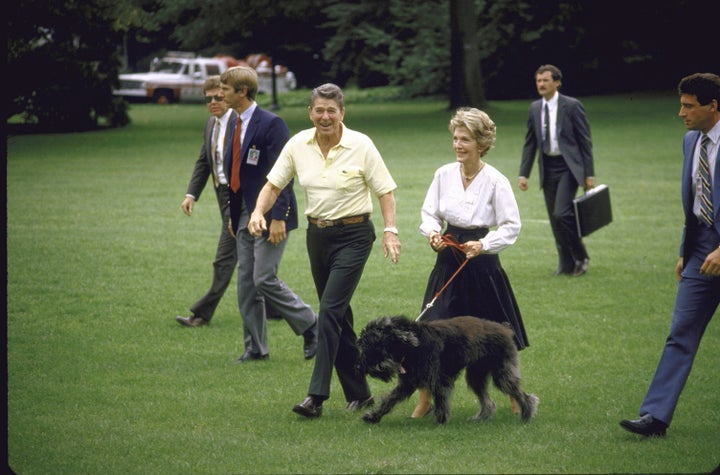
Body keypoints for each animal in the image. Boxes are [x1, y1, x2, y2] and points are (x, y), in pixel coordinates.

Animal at [358, 316, 536, 424]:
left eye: (374, 346)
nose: (360, 367)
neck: (412, 348)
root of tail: (505, 329)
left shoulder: (438, 380)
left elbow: (440, 400)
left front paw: (441, 421)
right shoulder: (406, 384)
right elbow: (389, 400)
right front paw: (374, 416)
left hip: (502, 374)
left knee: (520, 393)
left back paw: (527, 413)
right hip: (476, 376)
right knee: (488, 401)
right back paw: (480, 418)